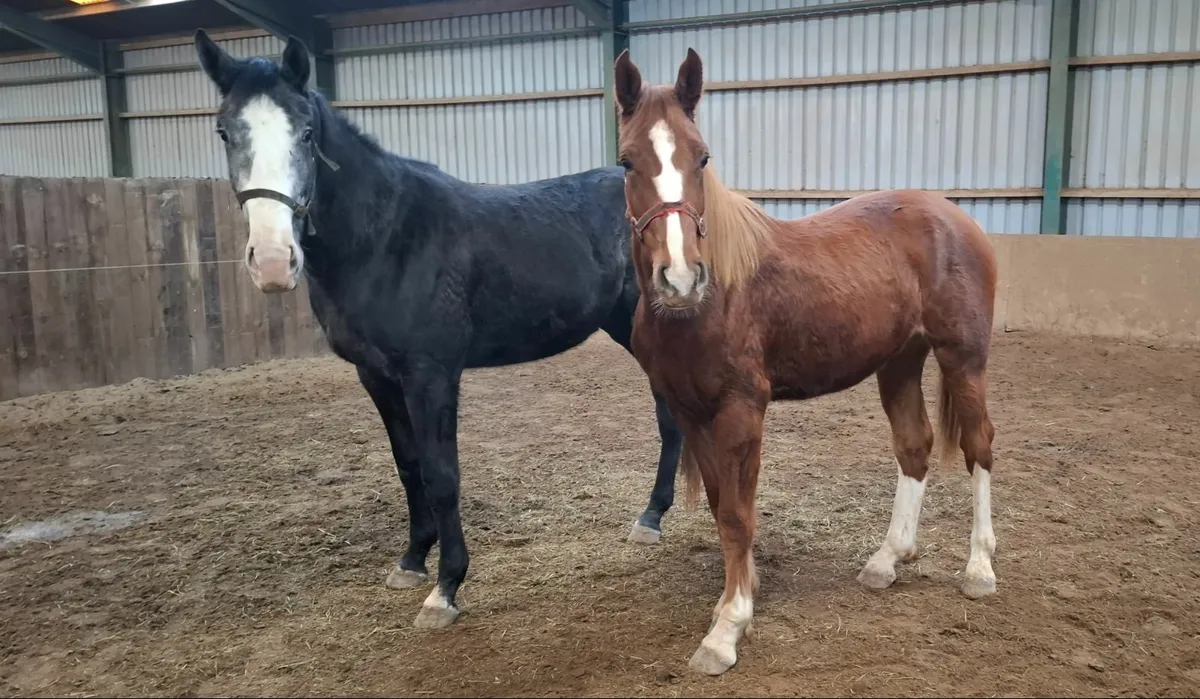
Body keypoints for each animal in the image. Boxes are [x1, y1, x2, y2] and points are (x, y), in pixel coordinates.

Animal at [192, 29, 687, 629]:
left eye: (306, 132)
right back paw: (651, 516)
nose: (271, 261)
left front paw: (446, 588)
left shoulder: (431, 374)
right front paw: (411, 561)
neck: (387, 237)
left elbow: (442, 475)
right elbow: (410, 469)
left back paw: (654, 517)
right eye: (224, 131)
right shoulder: (376, 375)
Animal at [611, 47, 1000, 676]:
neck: (713, 300)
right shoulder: (689, 412)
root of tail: (956, 218)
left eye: (702, 157)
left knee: (978, 445)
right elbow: (721, 506)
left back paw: (979, 568)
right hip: (899, 361)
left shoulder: (742, 410)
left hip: (963, 358)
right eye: (627, 161)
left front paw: (727, 628)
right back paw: (887, 560)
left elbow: (737, 515)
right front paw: (739, 595)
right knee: (914, 446)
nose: (680, 278)